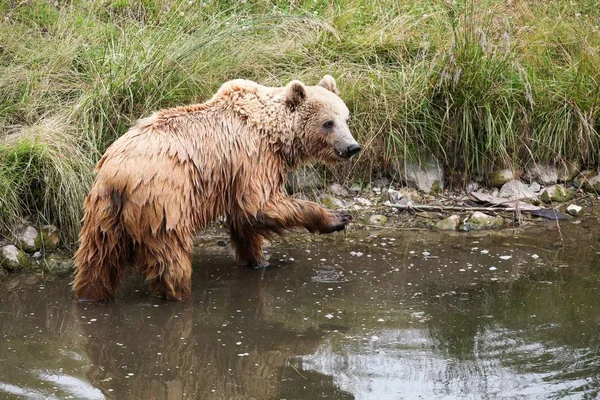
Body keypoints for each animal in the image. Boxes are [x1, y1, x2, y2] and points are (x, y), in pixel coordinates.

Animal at [71, 74, 360, 300]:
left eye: (346, 118)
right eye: (328, 123)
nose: (352, 147)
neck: (273, 134)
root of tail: (119, 175)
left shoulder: (235, 176)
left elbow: (245, 222)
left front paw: (259, 261)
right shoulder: (252, 158)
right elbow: (261, 205)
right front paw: (336, 218)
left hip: (102, 214)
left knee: (96, 263)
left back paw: (90, 295)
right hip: (163, 203)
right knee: (170, 260)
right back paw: (178, 294)